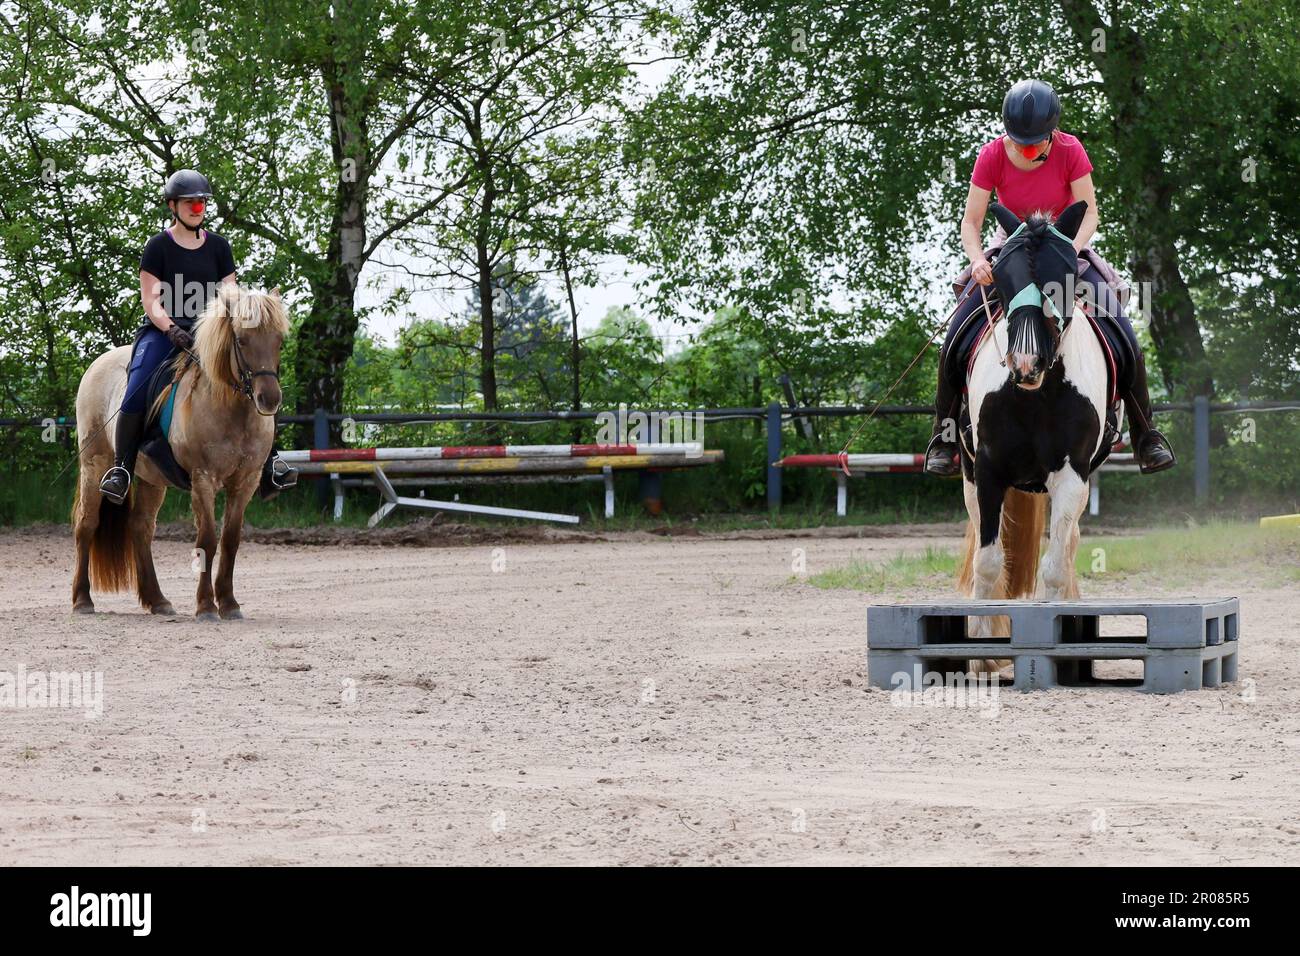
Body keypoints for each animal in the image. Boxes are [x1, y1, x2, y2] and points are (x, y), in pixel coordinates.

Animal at [71, 286, 289, 621]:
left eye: (278, 341)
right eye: (241, 340)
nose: (269, 399)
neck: (230, 408)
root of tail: (98, 364)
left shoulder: (246, 481)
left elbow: (230, 540)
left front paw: (229, 604)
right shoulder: (203, 478)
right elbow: (207, 540)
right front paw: (206, 606)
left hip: (151, 478)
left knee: (141, 528)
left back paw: (158, 600)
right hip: (95, 464)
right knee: (87, 524)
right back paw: (83, 600)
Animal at [956, 200, 1107, 642]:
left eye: (1066, 273)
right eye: (1002, 277)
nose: (1026, 363)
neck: (1035, 396)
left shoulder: (1072, 475)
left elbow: (1055, 568)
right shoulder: (988, 471)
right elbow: (988, 564)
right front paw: (983, 646)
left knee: (1069, 544)